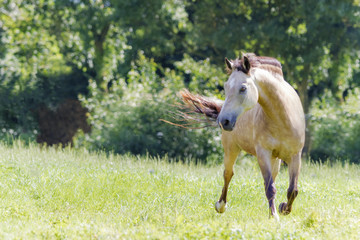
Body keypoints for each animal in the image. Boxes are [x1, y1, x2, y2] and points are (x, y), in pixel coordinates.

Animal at [179, 53, 306, 219]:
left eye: (243, 88)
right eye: (226, 87)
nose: (224, 121)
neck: (283, 119)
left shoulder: (295, 156)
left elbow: (292, 190)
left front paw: (283, 208)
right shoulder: (262, 153)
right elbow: (270, 187)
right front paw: (274, 216)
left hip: (275, 159)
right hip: (231, 148)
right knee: (228, 174)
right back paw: (220, 206)